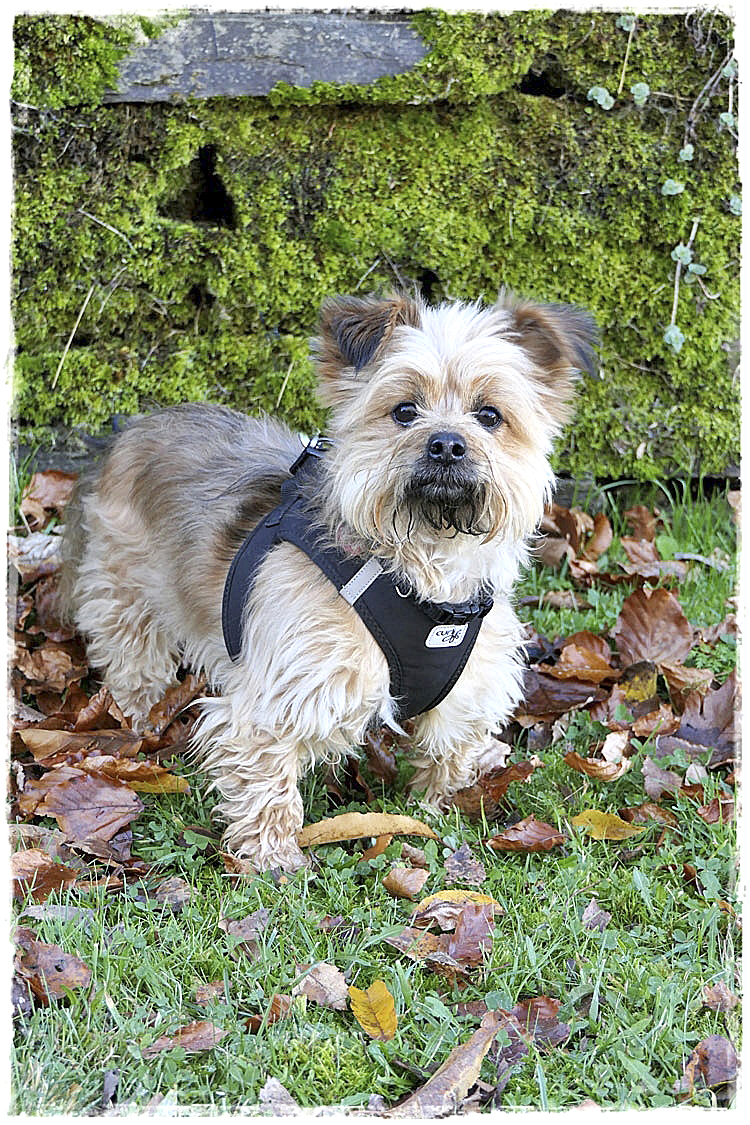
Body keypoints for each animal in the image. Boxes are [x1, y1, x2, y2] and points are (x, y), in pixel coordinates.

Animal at [63, 291, 596, 871]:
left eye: (490, 416)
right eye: (404, 411)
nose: (447, 445)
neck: (422, 576)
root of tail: (137, 424)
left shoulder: (469, 691)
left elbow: (448, 753)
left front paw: (438, 809)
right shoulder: (283, 692)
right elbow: (268, 775)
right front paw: (274, 858)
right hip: (126, 592)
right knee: (133, 659)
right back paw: (140, 721)